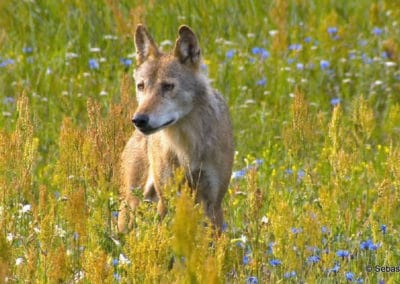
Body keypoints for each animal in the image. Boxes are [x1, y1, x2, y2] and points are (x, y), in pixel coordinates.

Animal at [117, 23, 233, 233]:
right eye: (141, 86)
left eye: (168, 86)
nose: (139, 120)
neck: (187, 145)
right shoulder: (166, 200)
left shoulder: (214, 203)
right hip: (131, 207)